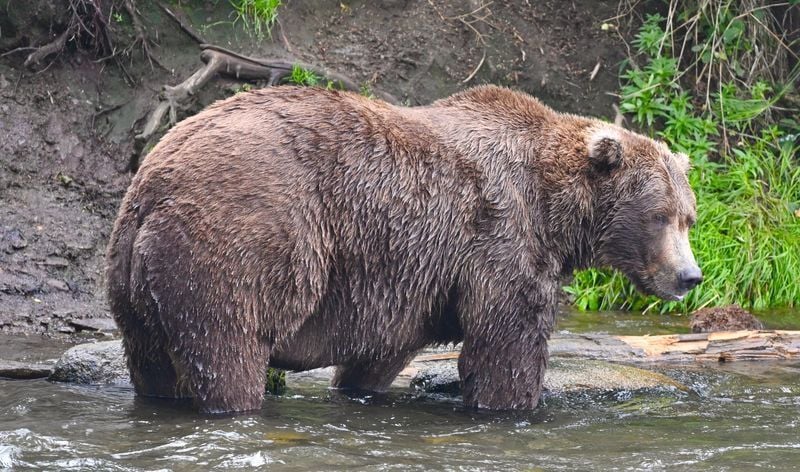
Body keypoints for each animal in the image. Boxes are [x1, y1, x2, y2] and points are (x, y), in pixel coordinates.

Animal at [106, 85, 702, 413]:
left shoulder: (411, 277)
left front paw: (360, 387)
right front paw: (514, 405)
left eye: (689, 217)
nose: (690, 276)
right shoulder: (501, 237)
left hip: (133, 278)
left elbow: (381, 352)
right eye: (659, 216)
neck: (555, 207)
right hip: (239, 240)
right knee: (227, 348)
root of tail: (153, 182)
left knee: (153, 364)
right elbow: (507, 343)